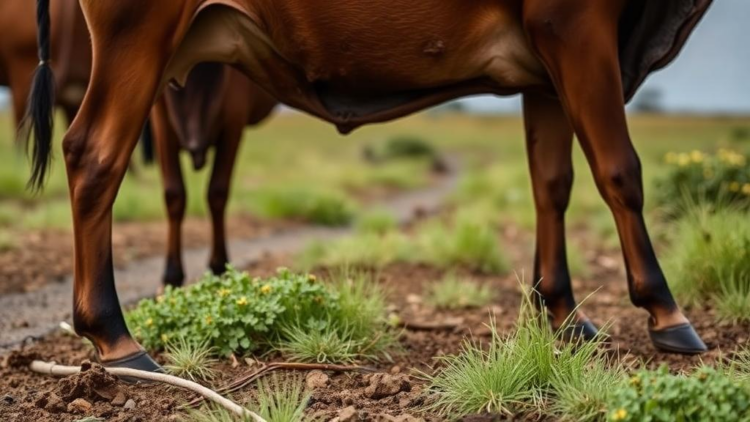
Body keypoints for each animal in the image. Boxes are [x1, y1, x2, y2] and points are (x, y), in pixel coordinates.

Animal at [153, 63, 276, 288]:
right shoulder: (160, 121)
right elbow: (174, 194)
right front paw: (172, 273)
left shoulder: (234, 119)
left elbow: (217, 192)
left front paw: (219, 265)